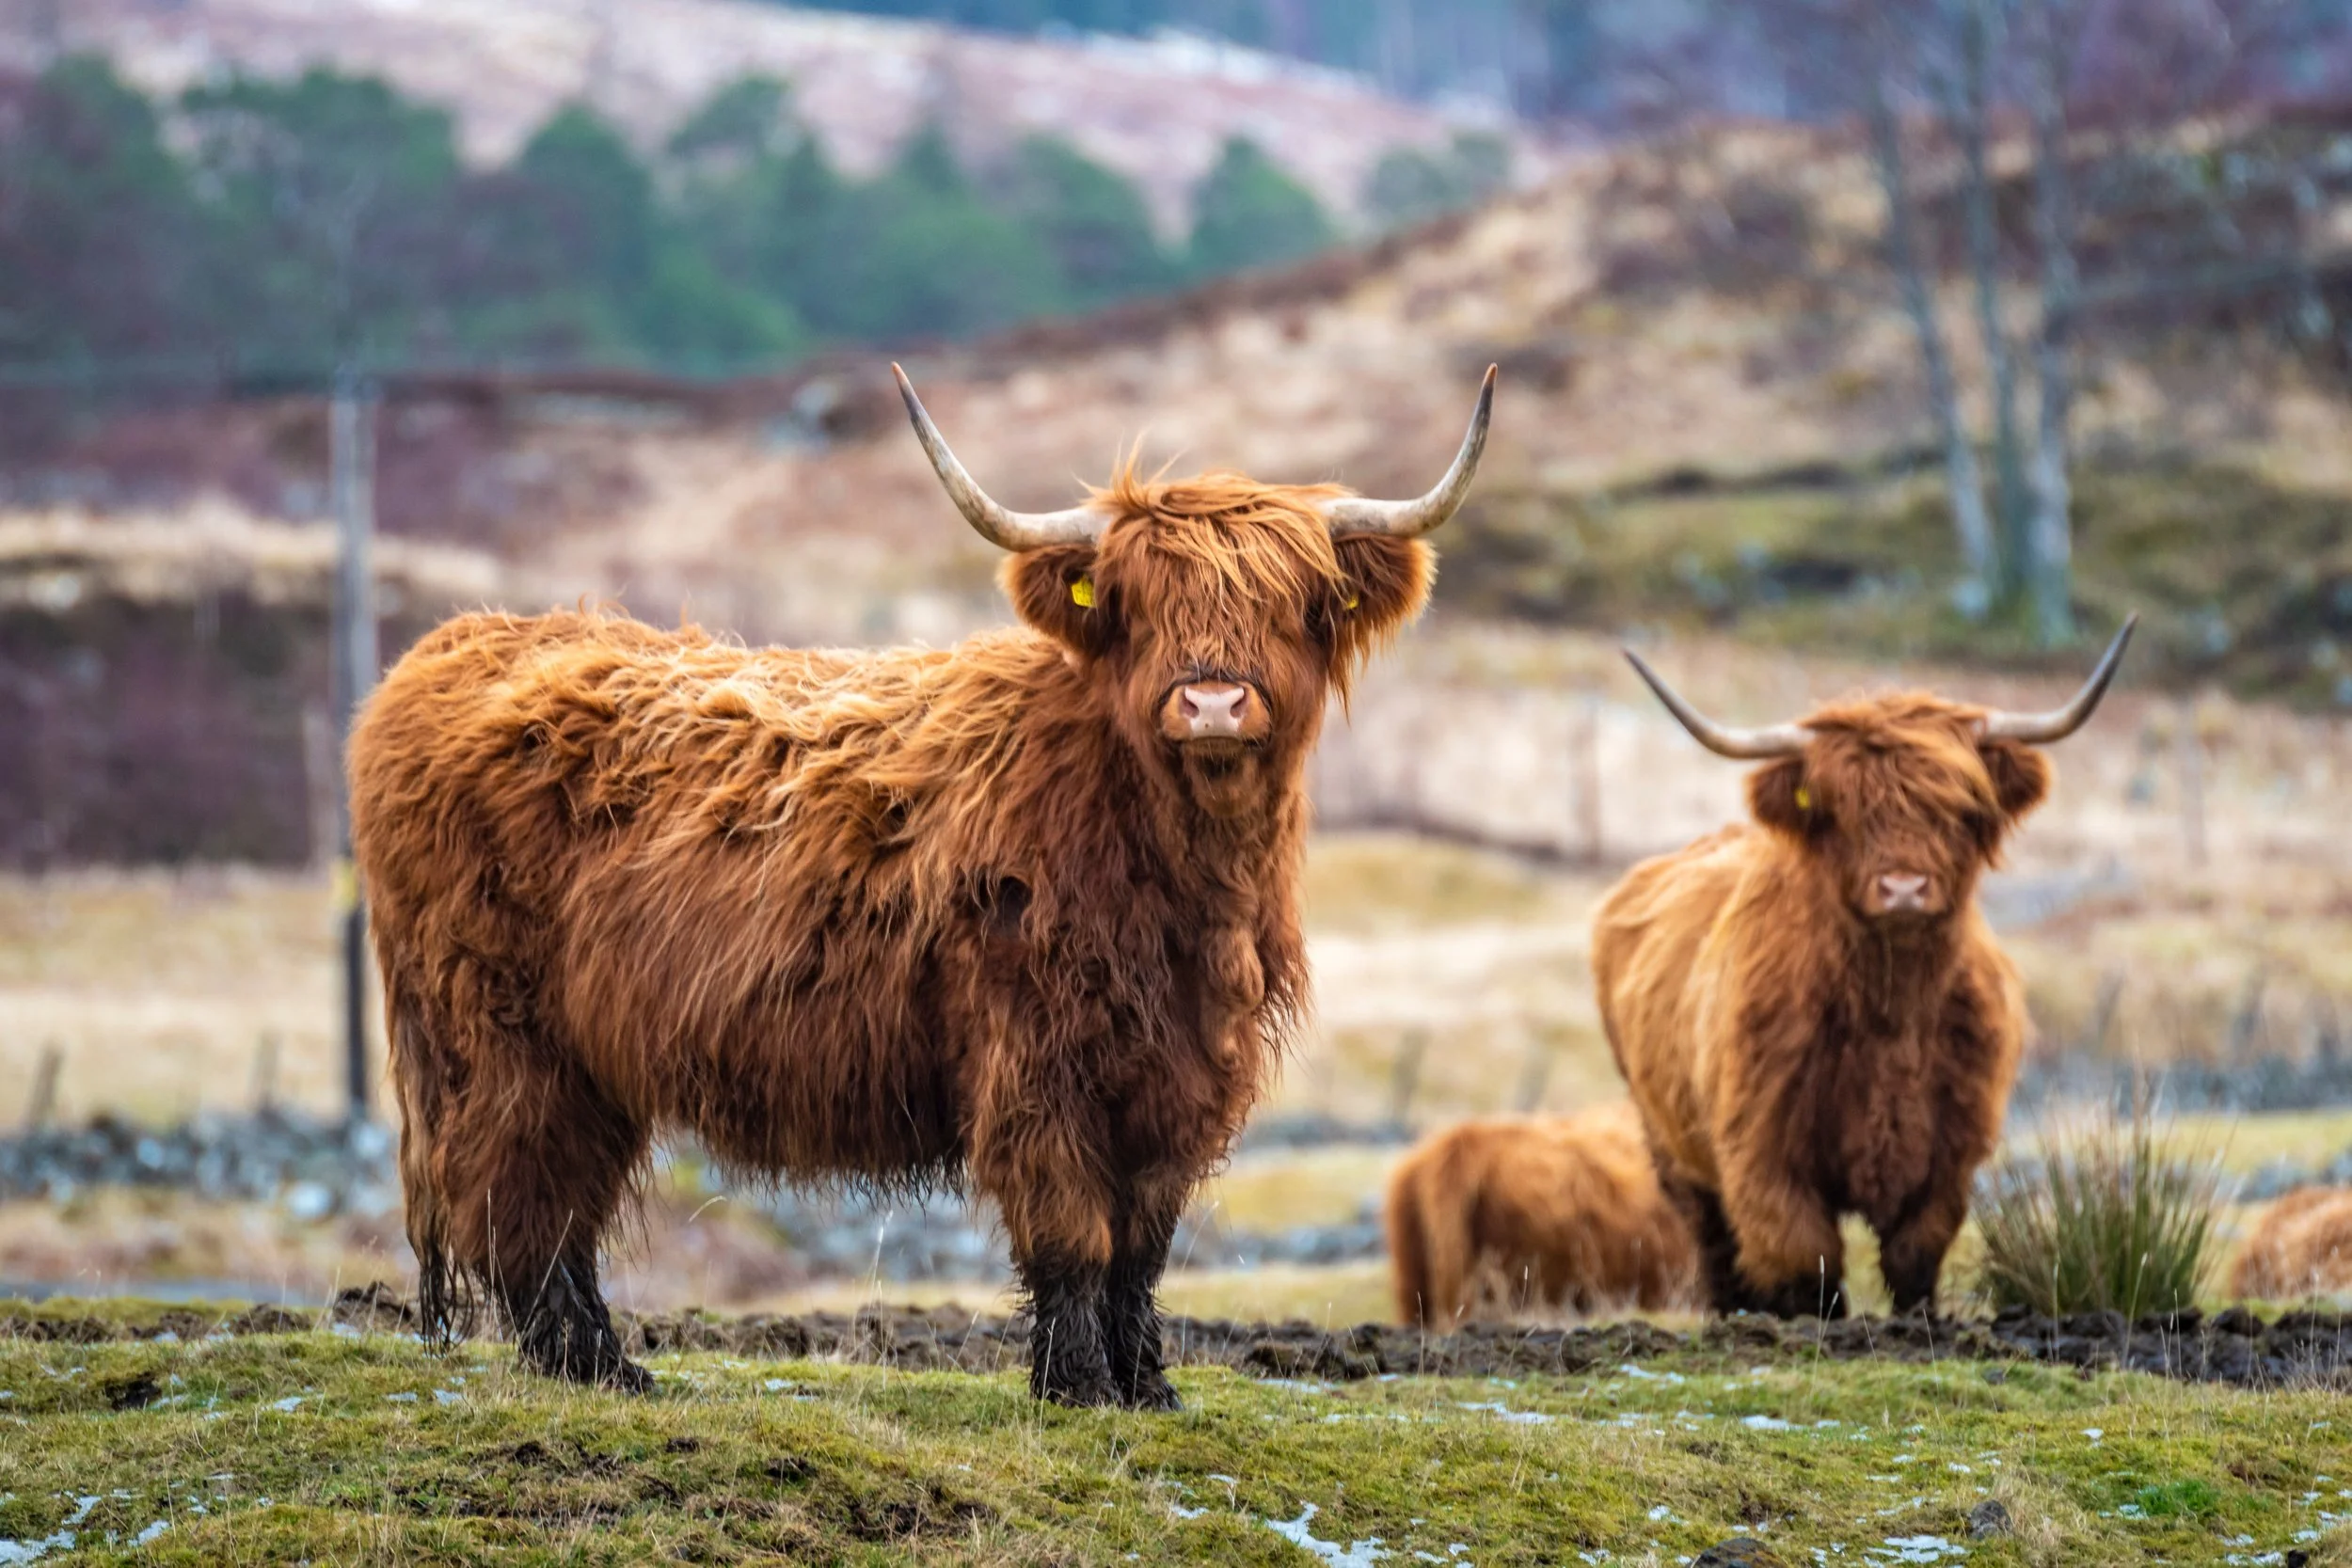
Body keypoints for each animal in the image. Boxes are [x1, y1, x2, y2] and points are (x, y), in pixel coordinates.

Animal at [349, 365, 1496, 1407]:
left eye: (1289, 600)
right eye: (1137, 602)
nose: (1211, 702)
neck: (1179, 879)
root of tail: (451, 647)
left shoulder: (1183, 1070)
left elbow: (1145, 1239)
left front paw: (1148, 1386)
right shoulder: (1033, 1057)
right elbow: (1075, 1231)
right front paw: (1079, 1385)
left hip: (585, 1053)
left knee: (555, 1198)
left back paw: (607, 1362)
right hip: (499, 1030)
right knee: (520, 1193)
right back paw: (594, 1365)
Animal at [1591, 622, 2135, 1319]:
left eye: (1959, 806)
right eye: (1840, 809)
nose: (1904, 888)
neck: (1891, 1009)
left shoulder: (1949, 1155)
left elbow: (1914, 1256)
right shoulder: (1764, 1152)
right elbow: (1805, 1262)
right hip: (1672, 1146)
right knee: (1714, 1247)